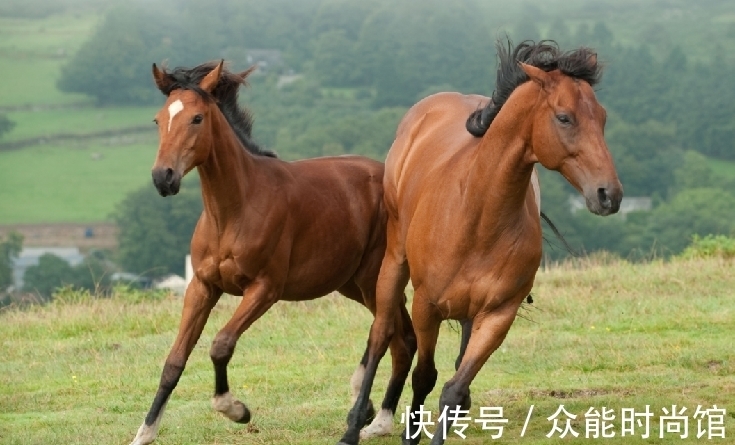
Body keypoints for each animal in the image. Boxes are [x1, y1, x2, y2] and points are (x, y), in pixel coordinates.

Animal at [128, 61, 417, 445]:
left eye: (197, 118)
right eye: (159, 120)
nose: (164, 178)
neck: (235, 209)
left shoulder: (265, 289)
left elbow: (221, 344)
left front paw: (235, 409)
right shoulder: (202, 287)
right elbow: (174, 360)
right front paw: (144, 432)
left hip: (374, 280)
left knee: (394, 338)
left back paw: (371, 413)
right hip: (352, 284)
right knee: (404, 338)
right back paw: (375, 415)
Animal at [339, 40, 623, 445]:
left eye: (601, 117)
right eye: (564, 117)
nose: (608, 195)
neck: (476, 216)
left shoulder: (498, 314)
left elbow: (454, 387)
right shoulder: (427, 306)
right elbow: (424, 376)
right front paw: (409, 433)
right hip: (394, 261)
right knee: (381, 336)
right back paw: (354, 425)